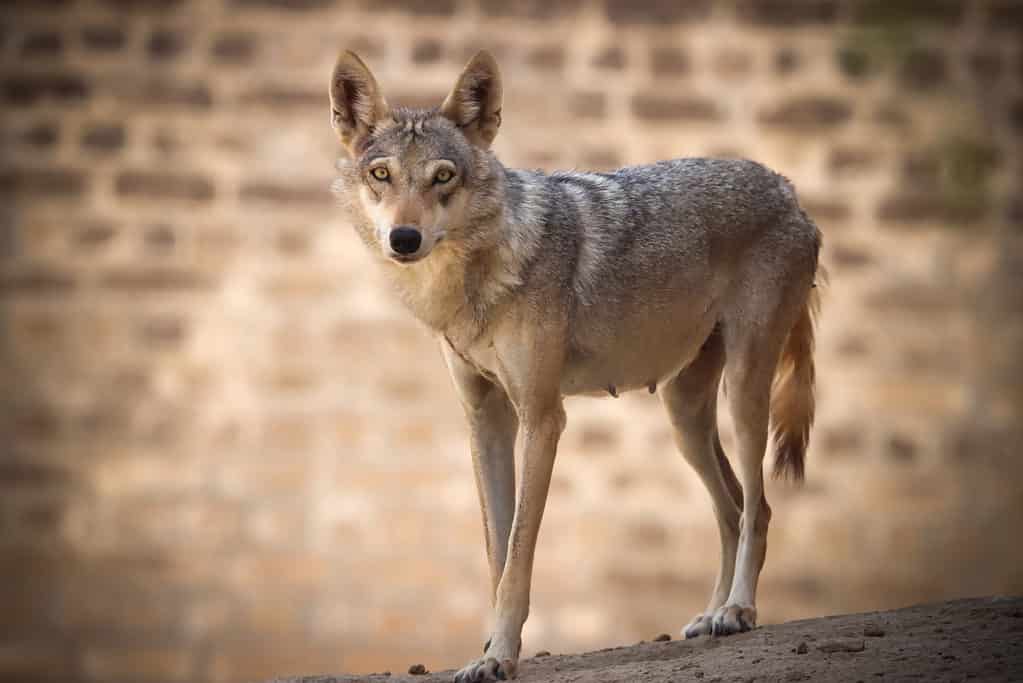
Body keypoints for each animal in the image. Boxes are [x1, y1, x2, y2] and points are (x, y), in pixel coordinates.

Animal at [327, 49, 822, 683]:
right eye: (381, 175)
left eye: (443, 176)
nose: (404, 238)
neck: (475, 280)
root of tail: (787, 189)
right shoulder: (485, 421)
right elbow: (497, 553)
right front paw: (489, 649)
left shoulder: (543, 419)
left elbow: (519, 556)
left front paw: (500, 657)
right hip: (684, 417)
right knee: (731, 509)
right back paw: (711, 616)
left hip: (744, 391)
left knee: (758, 508)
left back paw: (738, 610)